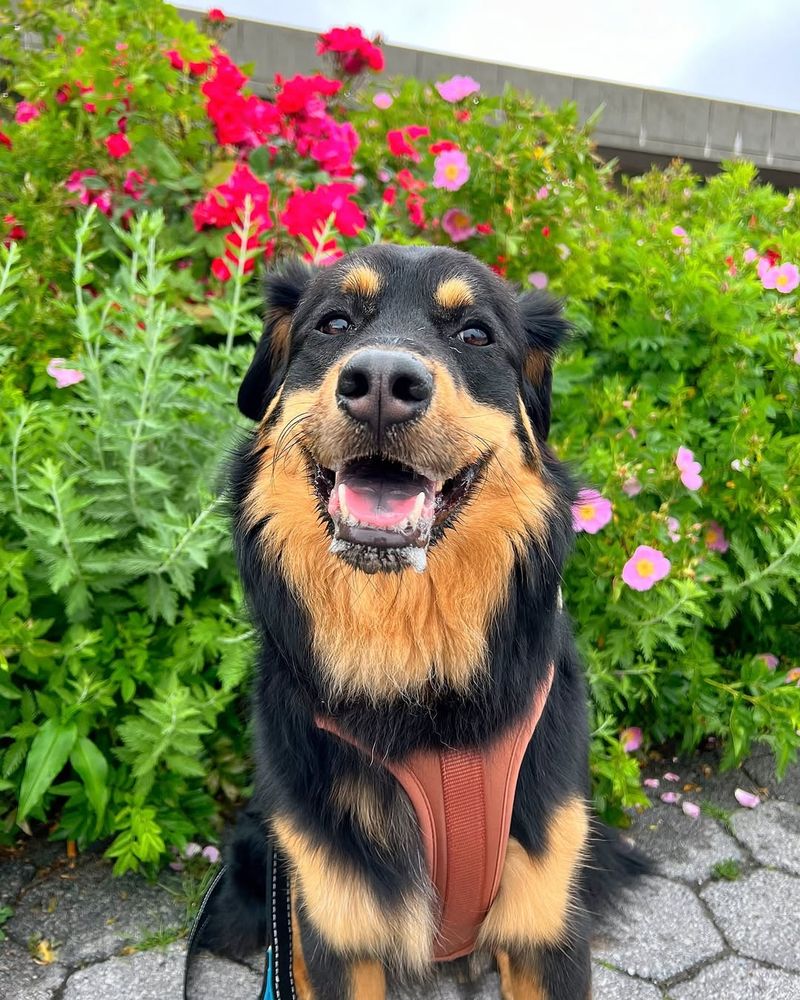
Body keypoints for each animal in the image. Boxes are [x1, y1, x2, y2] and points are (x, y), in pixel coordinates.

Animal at [203, 244, 648, 1000]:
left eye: (474, 335)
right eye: (334, 323)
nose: (382, 382)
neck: (415, 678)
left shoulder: (545, 920)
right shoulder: (340, 922)